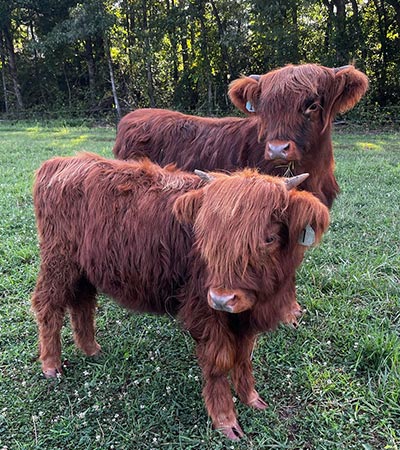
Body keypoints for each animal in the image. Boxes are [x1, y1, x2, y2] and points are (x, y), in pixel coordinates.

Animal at [32, 154, 330, 440]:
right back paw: (51, 365)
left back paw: (91, 349)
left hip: (83, 268)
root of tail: (59, 163)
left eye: (268, 239)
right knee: (48, 305)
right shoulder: (204, 311)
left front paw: (251, 398)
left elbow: (244, 356)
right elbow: (219, 362)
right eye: (207, 236)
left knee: (82, 303)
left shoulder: (245, 314)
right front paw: (226, 421)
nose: (222, 299)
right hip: (58, 261)